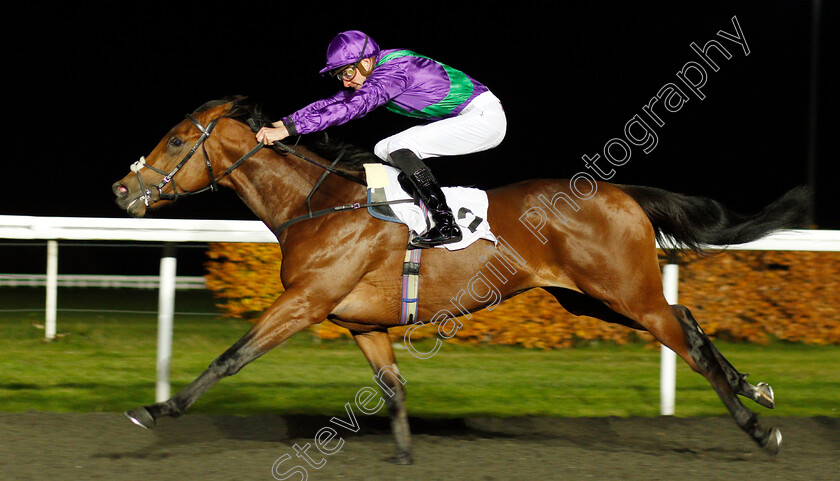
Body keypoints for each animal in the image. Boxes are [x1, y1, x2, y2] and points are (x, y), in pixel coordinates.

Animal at [113, 96, 808, 462]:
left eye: (175, 140)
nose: (122, 189)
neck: (319, 206)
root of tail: (620, 193)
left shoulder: (306, 300)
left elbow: (231, 357)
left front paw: (154, 409)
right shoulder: (361, 322)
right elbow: (392, 388)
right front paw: (404, 456)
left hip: (623, 290)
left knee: (684, 339)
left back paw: (758, 428)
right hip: (590, 297)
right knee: (687, 320)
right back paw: (756, 389)